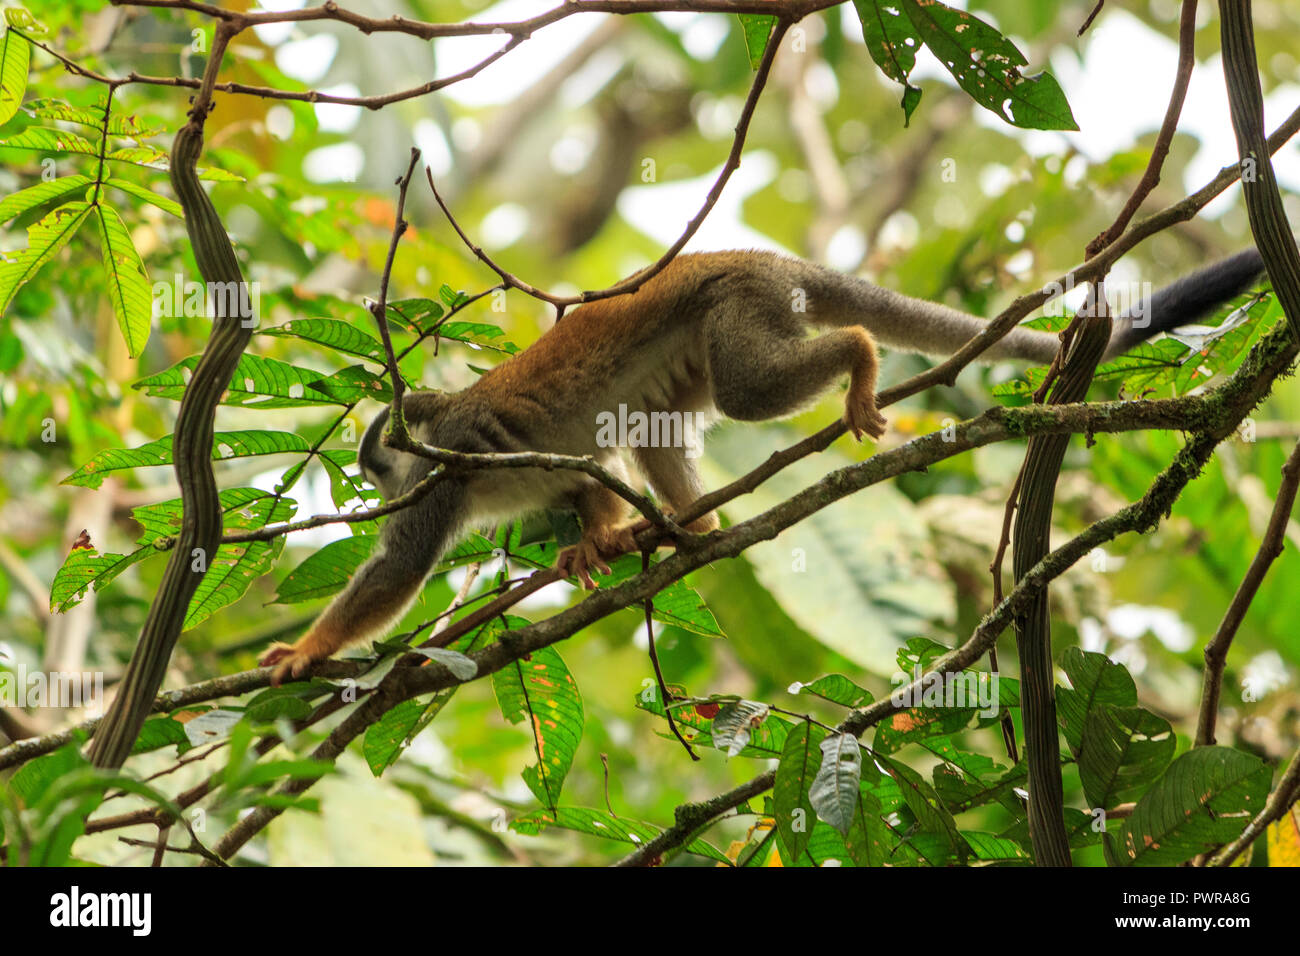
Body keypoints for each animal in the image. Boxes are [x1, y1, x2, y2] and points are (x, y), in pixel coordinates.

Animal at [258, 247, 1263, 681]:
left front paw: (304, 651)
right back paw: (688, 528)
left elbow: (397, 572)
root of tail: (753, 254)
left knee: (749, 393)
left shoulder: (445, 468)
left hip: (739, 306)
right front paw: (594, 535)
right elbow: (583, 469)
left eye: (373, 463)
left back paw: (859, 353)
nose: (370, 482)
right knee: (651, 422)